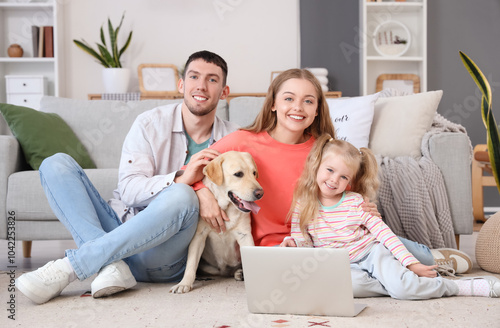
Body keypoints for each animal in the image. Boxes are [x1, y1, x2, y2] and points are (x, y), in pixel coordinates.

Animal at [170, 150, 264, 294]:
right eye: (238, 174)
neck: (225, 208)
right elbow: (191, 264)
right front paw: (184, 283)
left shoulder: (245, 235)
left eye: (254, 173)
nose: (260, 193)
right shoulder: (199, 236)